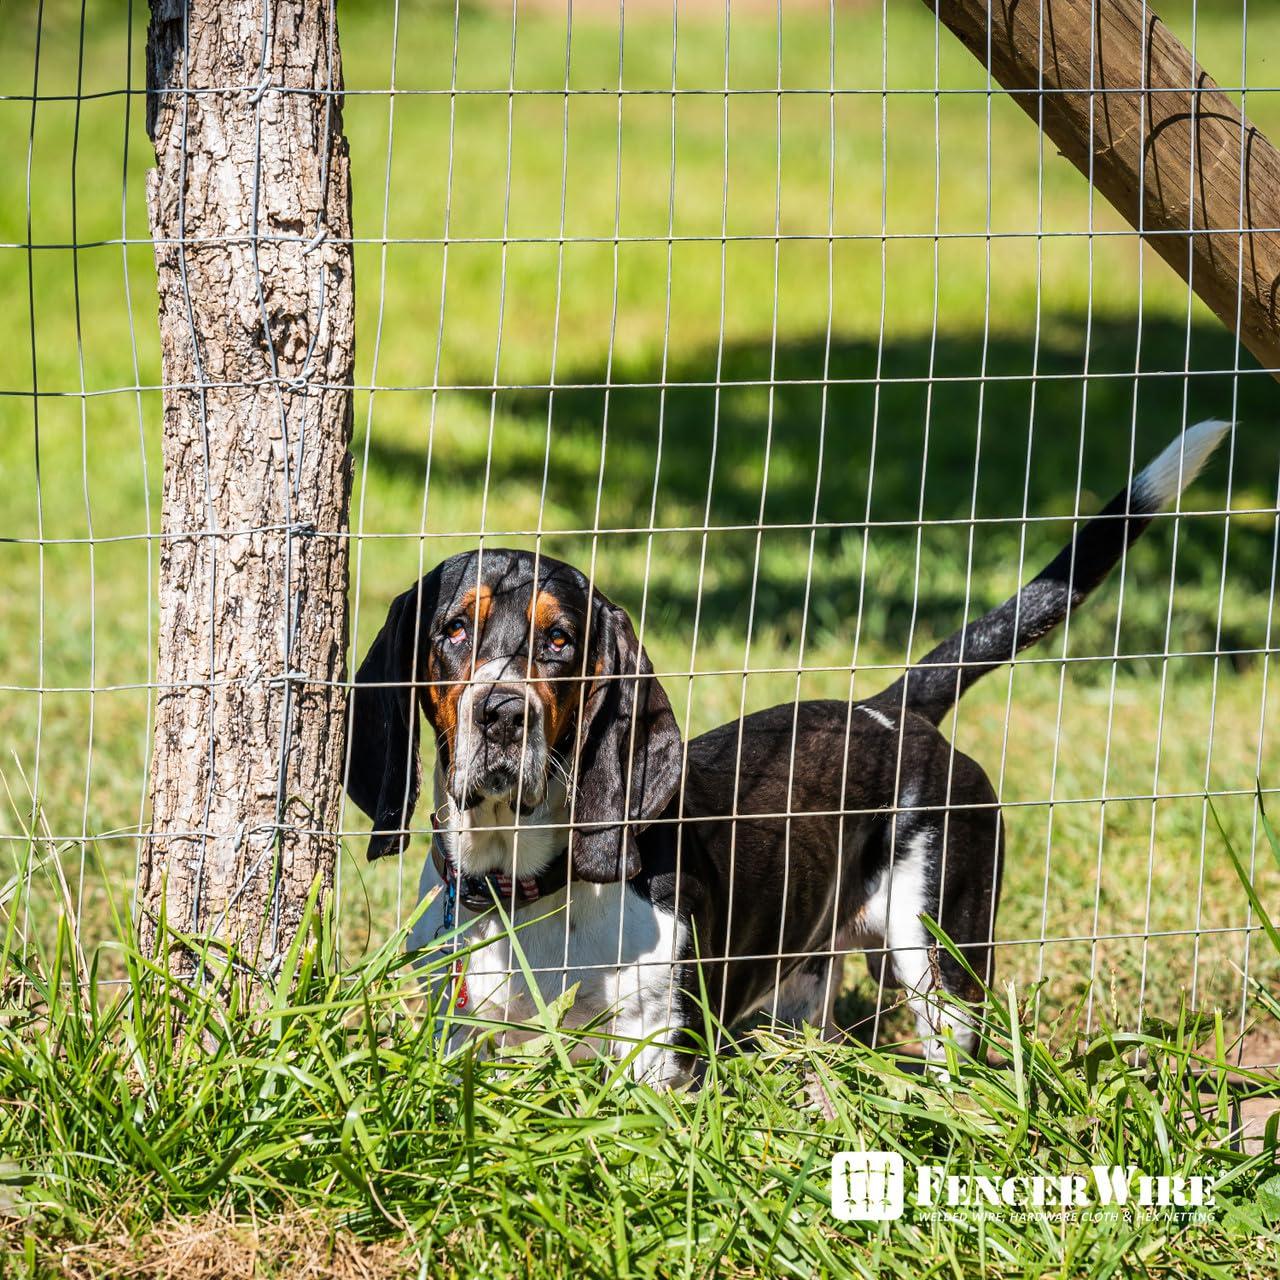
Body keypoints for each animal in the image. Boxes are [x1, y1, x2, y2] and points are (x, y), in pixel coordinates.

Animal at [345, 417, 1223, 1080]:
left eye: (559, 642)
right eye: (453, 630)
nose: (501, 715)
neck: (525, 888)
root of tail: (885, 710)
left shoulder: (655, 1059)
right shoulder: (464, 1038)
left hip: (941, 959)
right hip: (807, 988)